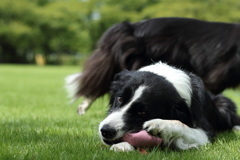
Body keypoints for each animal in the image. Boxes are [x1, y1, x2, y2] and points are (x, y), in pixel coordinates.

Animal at [98, 62, 240, 151]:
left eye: (143, 113)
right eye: (120, 99)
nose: (106, 130)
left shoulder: (204, 133)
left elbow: (180, 124)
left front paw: (160, 125)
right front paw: (122, 145)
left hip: (224, 103)